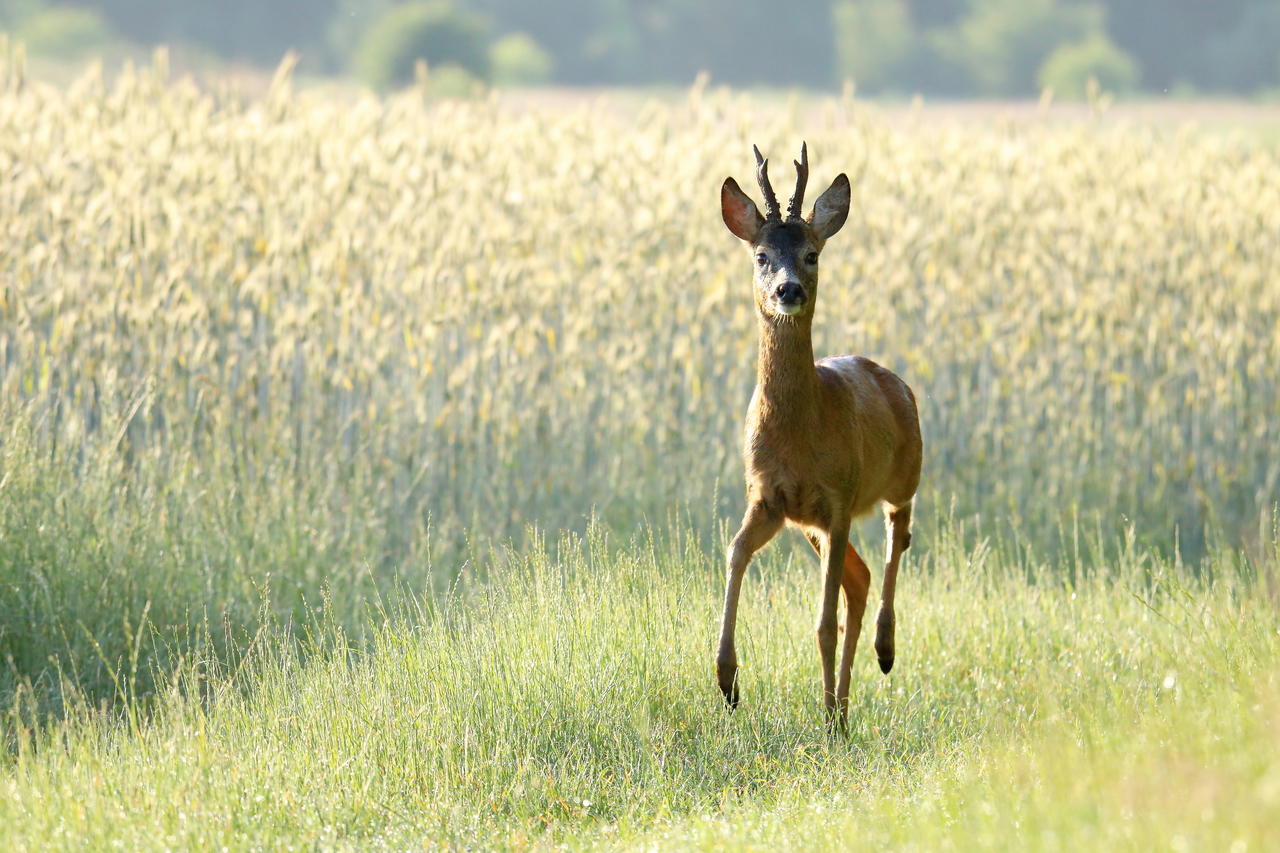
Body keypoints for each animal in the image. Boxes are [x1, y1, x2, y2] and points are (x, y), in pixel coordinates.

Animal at [721, 142, 921, 727]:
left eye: (812, 254)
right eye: (761, 256)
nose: (787, 290)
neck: (798, 435)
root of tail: (894, 379)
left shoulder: (836, 498)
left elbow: (823, 622)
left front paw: (825, 713)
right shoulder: (770, 499)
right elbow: (734, 553)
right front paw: (726, 679)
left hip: (902, 473)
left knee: (898, 535)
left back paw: (883, 650)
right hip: (814, 526)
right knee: (861, 578)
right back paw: (843, 709)